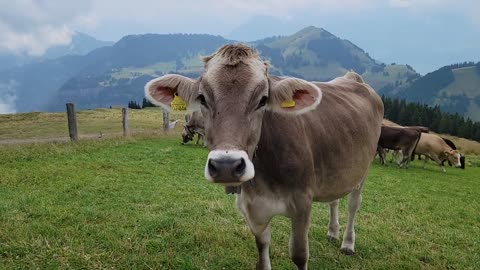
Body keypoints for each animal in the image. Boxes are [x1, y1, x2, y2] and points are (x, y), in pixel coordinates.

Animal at [144, 43, 384, 268]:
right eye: (202, 98)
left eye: (263, 99)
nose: (226, 166)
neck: (264, 180)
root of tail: (352, 78)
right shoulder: (252, 207)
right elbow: (262, 248)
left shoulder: (302, 202)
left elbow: (299, 254)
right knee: (333, 199)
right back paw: (333, 232)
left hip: (363, 169)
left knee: (353, 204)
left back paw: (347, 243)